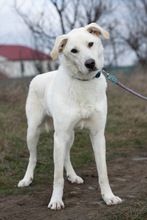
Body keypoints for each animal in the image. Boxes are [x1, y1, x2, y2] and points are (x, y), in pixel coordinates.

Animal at [18, 22, 121, 210]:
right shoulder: (59, 136)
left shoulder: (97, 134)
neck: (84, 83)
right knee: (33, 156)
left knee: (66, 155)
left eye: (90, 44)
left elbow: (103, 172)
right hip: (33, 131)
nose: (90, 63)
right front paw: (56, 200)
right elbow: (57, 176)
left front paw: (108, 196)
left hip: (69, 135)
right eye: (74, 50)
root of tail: (38, 76)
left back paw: (72, 176)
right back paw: (27, 179)